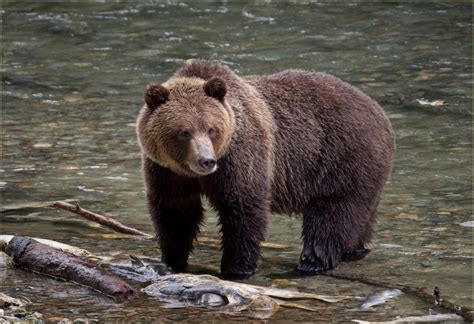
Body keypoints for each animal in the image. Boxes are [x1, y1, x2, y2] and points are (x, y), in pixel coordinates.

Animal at [135, 60, 394, 278]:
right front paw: (172, 259)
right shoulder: (167, 171)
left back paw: (312, 262)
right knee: (360, 216)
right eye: (184, 132)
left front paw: (236, 268)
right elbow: (175, 211)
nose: (207, 160)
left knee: (332, 212)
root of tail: (380, 112)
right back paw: (355, 250)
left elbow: (242, 209)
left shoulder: (240, 156)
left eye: (211, 129)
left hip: (342, 157)